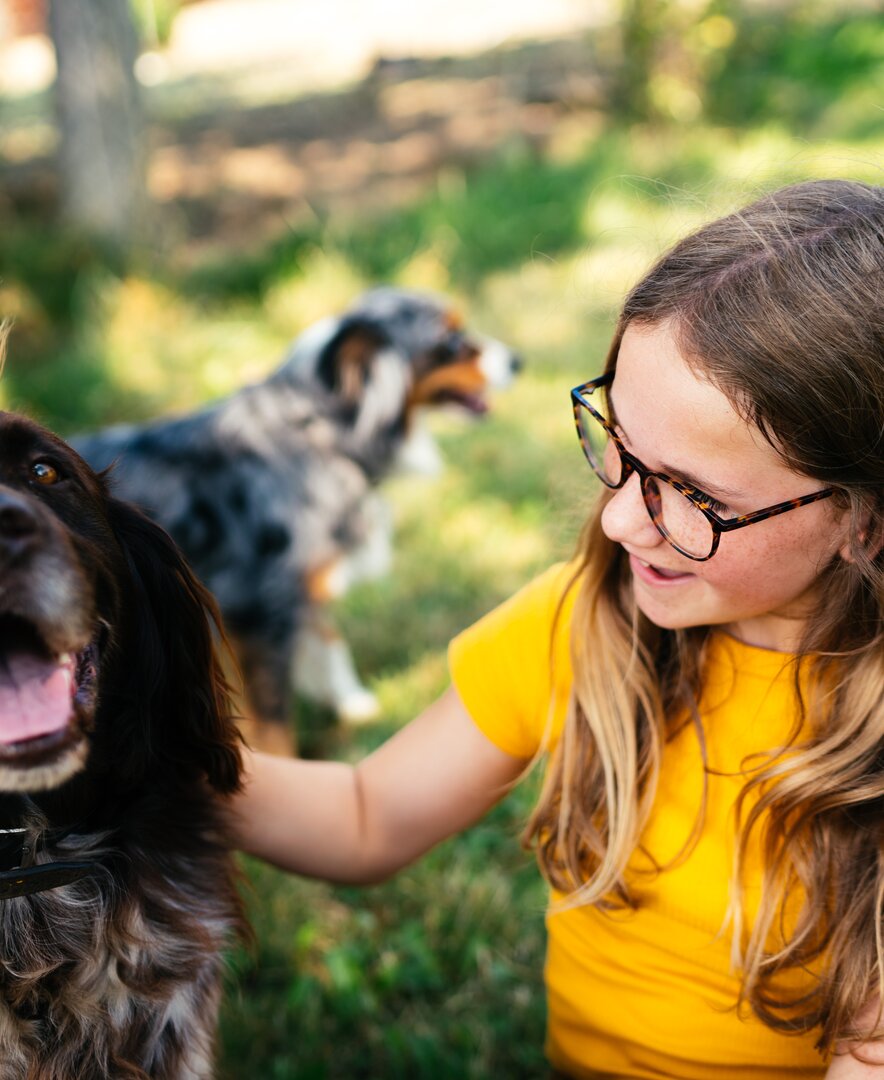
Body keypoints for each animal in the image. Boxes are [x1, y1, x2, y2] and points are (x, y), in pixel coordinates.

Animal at [76, 291, 522, 756]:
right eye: (449, 339)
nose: (518, 361)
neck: (323, 430)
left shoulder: (303, 586)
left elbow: (329, 640)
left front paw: (354, 703)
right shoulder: (259, 614)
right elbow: (274, 722)